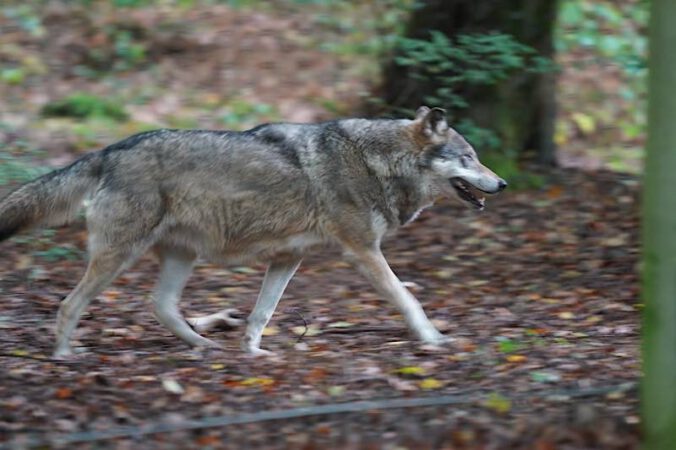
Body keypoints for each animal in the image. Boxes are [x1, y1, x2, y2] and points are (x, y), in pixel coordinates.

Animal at [0, 106, 506, 358]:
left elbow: (261, 313)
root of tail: (110, 149)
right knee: (70, 304)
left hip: (181, 256)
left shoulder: (288, 258)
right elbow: (408, 298)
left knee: (160, 305)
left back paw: (203, 345)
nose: (501, 183)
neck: (375, 160)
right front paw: (432, 338)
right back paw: (64, 356)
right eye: (468, 157)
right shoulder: (362, 250)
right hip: (119, 257)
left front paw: (252, 352)